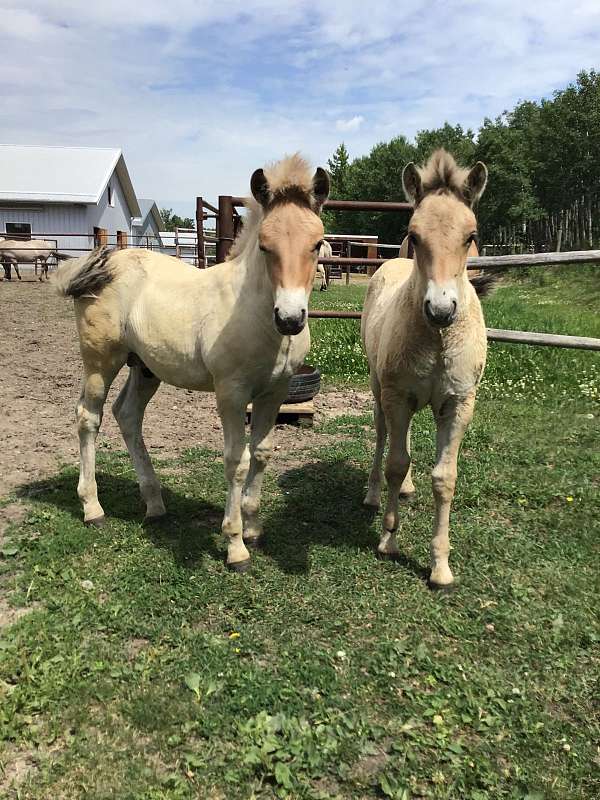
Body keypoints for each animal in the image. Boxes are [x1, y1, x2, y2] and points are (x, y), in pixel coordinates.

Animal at [54, 155, 330, 568]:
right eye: (265, 246)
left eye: (316, 244)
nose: (290, 318)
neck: (256, 313)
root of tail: (103, 262)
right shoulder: (231, 393)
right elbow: (236, 460)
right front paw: (235, 545)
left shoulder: (275, 391)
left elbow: (262, 453)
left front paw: (253, 527)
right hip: (100, 359)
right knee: (89, 416)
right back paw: (93, 508)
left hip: (145, 368)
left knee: (127, 415)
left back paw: (154, 504)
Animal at [360, 148, 492, 588]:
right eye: (414, 235)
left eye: (470, 236)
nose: (440, 309)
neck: (437, 341)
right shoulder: (397, 395)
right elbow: (395, 462)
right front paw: (388, 540)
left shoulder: (458, 404)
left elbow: (444, 478)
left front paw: (440, 567)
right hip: (379, 388)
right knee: (384, 435)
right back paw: (373, 493)